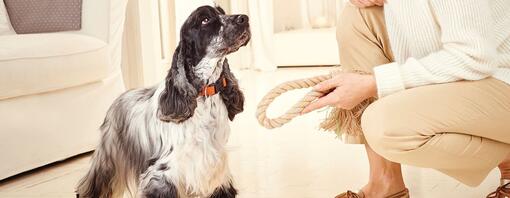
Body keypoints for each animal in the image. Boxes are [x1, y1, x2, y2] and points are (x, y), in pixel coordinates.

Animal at [76, 6, 250, 198]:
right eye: (205, 20)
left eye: (222, 12)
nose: (244, 18)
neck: (204, 95)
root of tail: (120, 97)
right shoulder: (163, 175)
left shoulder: (217, 175)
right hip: (108, 159)